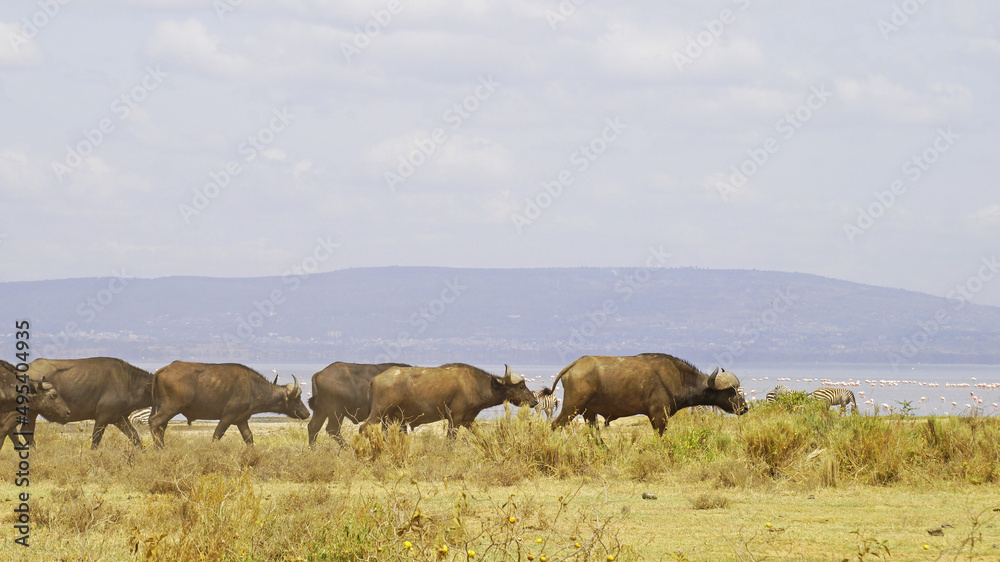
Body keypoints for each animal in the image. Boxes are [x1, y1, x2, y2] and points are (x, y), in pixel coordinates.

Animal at [21, 358, 152, 446]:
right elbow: (95, 441)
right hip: (31, 413)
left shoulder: (120, 418)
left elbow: (135, 437)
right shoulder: (102, 418)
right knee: (26, 432)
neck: (127, 382)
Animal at [148, 358, 308, 446]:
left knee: (161, 428)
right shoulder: (227, 417)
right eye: (298, 398)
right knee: (154, 422)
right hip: (171, 408)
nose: (307, 413)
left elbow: (249, 439)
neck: (252, 387)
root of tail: (166, 368)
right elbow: (216, 435)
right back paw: (159, 448)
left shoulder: (241, 420)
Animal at [356, 360, 536, 436]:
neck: (474, 384)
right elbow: (450, 440)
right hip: (378, 413)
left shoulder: (468, 420)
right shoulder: (454, 419)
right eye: (521, 386)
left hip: (388, 418)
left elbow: (480, 436)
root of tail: (375, 379)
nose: (534, 401)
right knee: (363, 428)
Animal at [552, 352, 748, 436]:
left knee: (594, 434)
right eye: (730, 391)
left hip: (589, 413)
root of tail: (574, 365)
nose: (745, 408)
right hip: (571, 408)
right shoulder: (659, 415)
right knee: (555, 425)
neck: (679, 377)